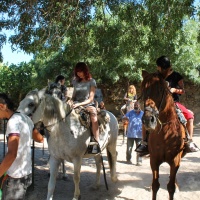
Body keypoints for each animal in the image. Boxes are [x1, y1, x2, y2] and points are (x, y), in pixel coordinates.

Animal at [141, 70, 185, 200]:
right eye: (143, 90)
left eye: (160, 90)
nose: (148, 120)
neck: (166, 132)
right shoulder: (154, 160)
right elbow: (155, 185)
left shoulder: (175, 161)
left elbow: (170, 187)